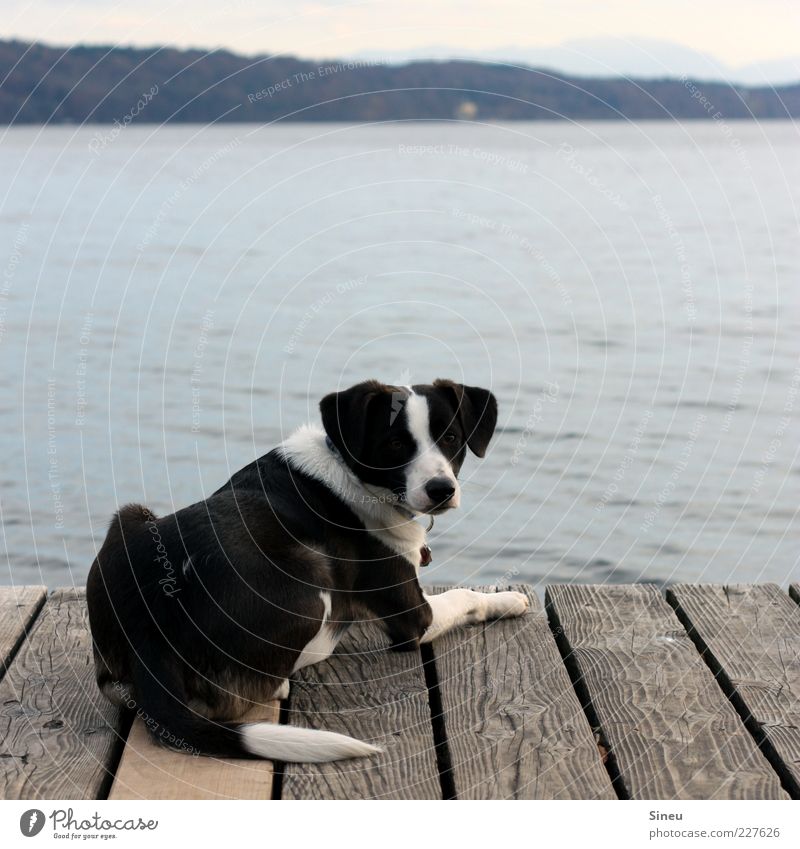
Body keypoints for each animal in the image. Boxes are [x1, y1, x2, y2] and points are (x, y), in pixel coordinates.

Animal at [86, 378, 532, 760]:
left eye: (451, 438)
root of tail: (148, 632)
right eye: (394, 444)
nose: (441, 491)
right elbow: (464, 596)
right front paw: (509, 599)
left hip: (131, 517)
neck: (352, 472)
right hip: (310, 579)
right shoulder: (414, 616)